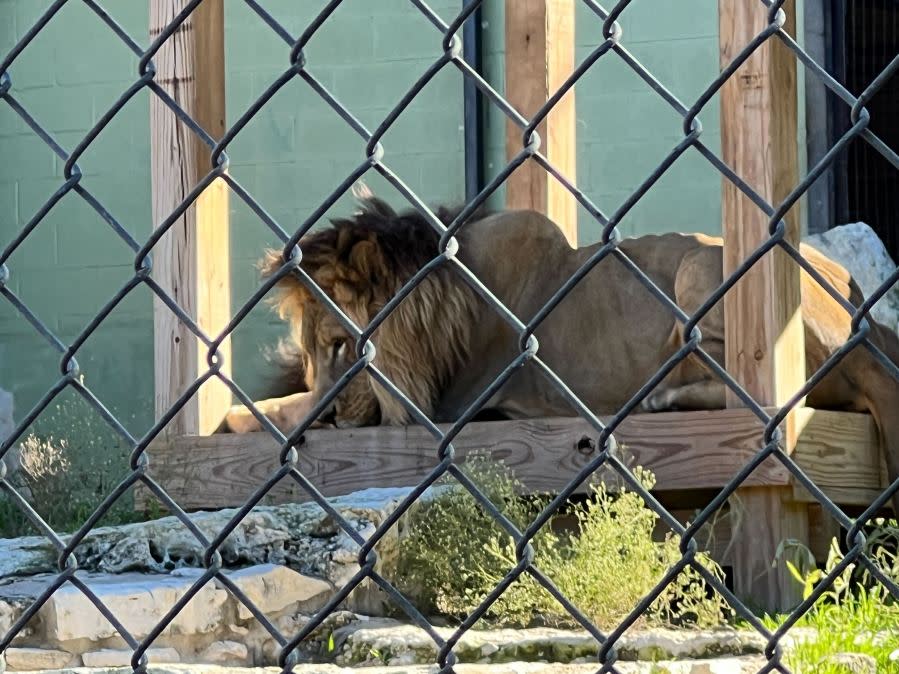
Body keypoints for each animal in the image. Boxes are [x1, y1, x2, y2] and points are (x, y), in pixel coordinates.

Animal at [223, 197, 899, 512]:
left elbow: (281, 410)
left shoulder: (440, 408)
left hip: (701, 271)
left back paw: (664, 399)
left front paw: (244, 418)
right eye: (311, 351)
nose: (330, 417)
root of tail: (864, 330)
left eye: (343, 345)